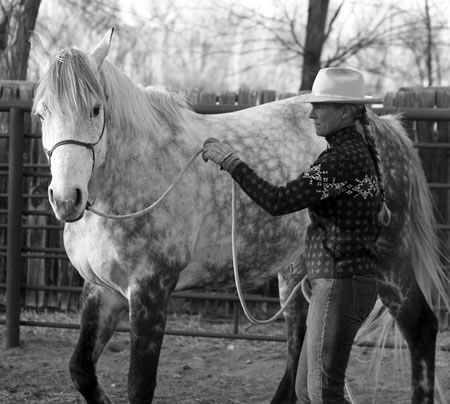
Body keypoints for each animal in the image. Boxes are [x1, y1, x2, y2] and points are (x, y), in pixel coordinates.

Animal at [30, 29, 446, 404]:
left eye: (95, 109)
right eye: (41, 113)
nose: (67, 198)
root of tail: (387, 128)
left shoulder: (150, 290)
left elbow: (139, 386)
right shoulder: (101, 290)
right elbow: (81, 369)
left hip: (391, 262)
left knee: (420, 326)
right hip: (297, 273)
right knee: (301, 342)